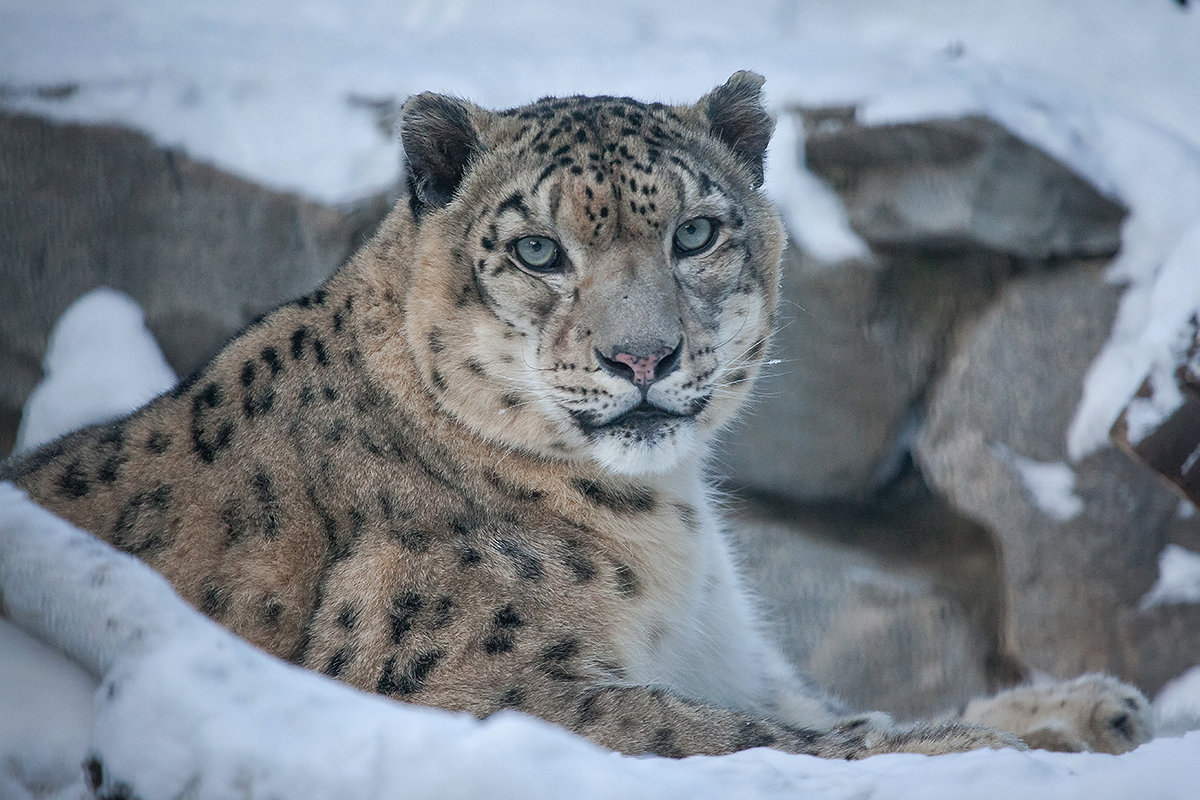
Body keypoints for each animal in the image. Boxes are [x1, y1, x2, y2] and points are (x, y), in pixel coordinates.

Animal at [0, 71, 1147, 762]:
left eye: (695, 232)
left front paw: (1084, 706)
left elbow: (819, 707)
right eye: (539, 250)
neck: (672, 530)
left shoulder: (735, 656)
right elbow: (741, 735)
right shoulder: (485, 685)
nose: (642, 355)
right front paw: (1012, 746)